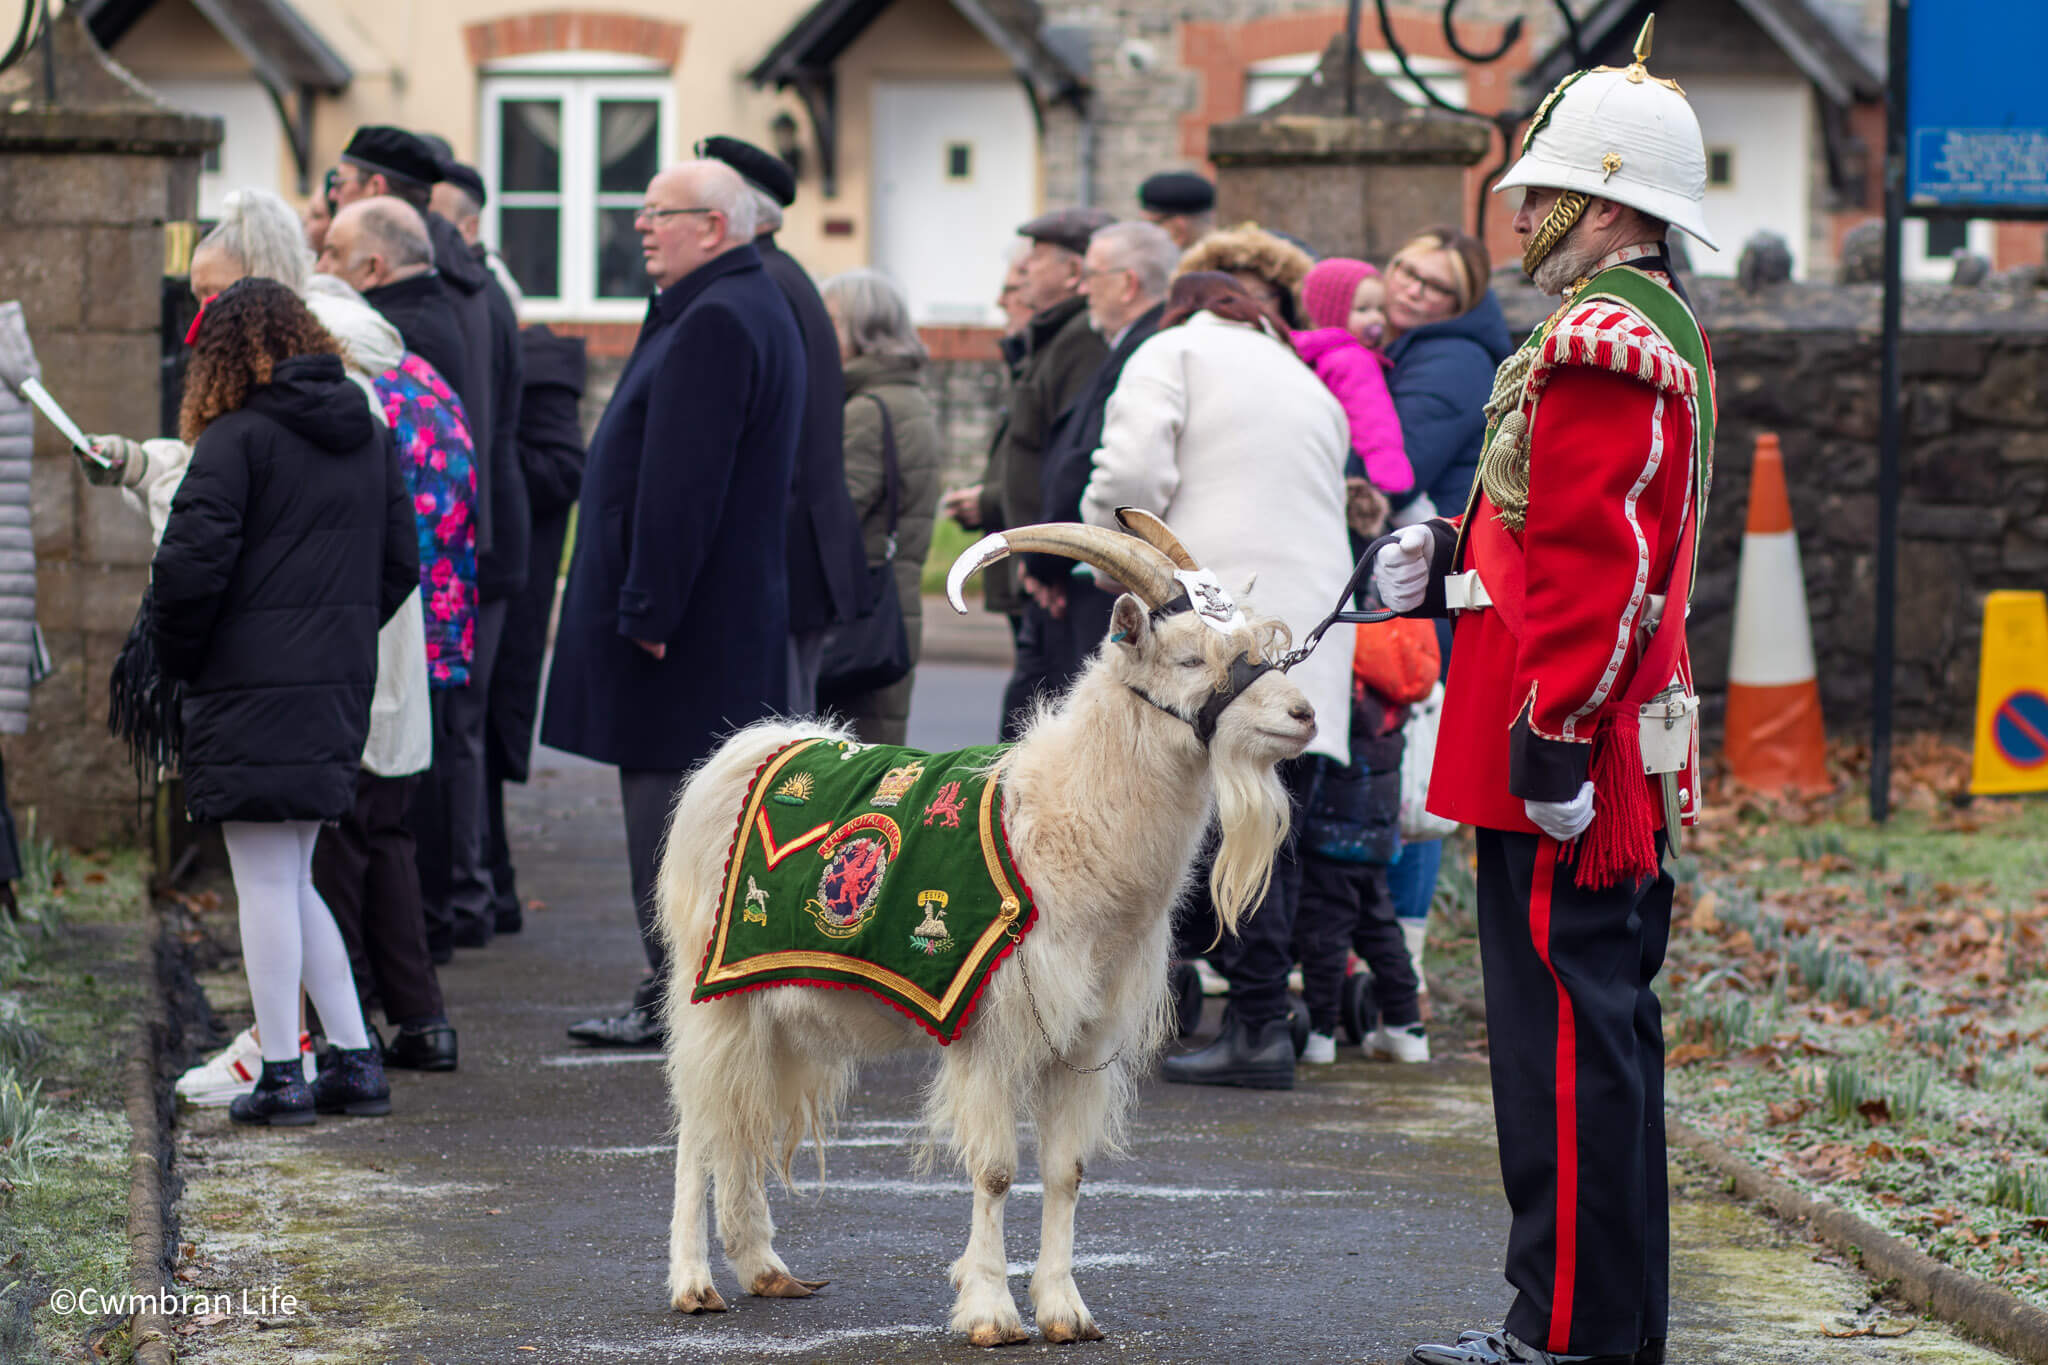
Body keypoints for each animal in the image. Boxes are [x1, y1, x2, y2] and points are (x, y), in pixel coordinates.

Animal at [663, 511, 1318, 1342]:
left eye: (1262, 648)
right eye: (1190, 657)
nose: (1303, 715)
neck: (1063, 819)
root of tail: (747, 750)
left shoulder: (1085, 1036)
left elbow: (1067, 1171)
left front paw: (1066, 1309)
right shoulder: (990, 1025)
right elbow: (998, 1168)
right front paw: (991, 1312)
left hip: (773, 1008)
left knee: (739, 1115)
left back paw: (764, 1267)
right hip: (712, 988)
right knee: (700, 1124)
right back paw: (692, 1282)